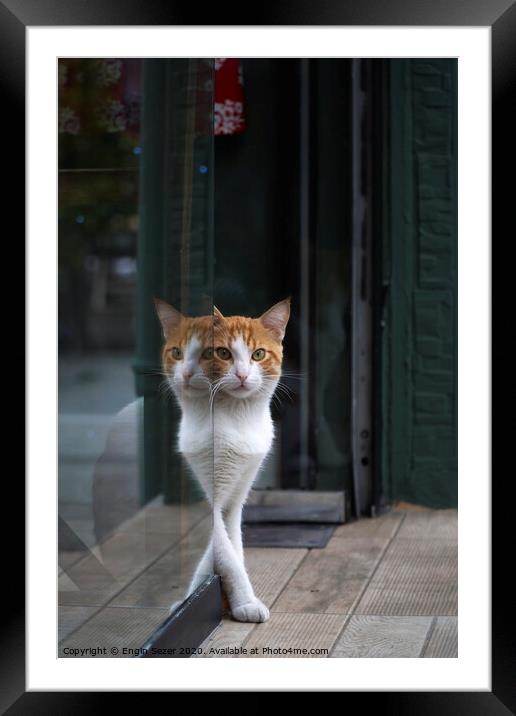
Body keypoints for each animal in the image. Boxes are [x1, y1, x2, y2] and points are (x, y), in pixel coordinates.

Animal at [154, 296, 290, 620]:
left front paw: (234, 599)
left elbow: (233, 542)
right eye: (224, 353)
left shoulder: (239, 492)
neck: (237, 417)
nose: (241, 374)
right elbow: (224, 550)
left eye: (258, 354)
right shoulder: (211, 491)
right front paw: (241, 601)